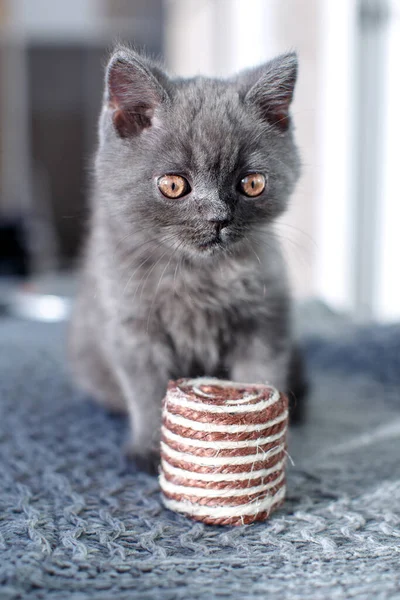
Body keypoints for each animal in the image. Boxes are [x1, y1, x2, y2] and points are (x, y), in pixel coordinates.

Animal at [69, 45, 306, 474]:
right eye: (173, 185)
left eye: (252, 183)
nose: (217, 218)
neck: (197, 274)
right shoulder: (132, 327)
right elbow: (147, 392)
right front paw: (150, 450)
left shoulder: (266, 318)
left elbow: (263, 375)